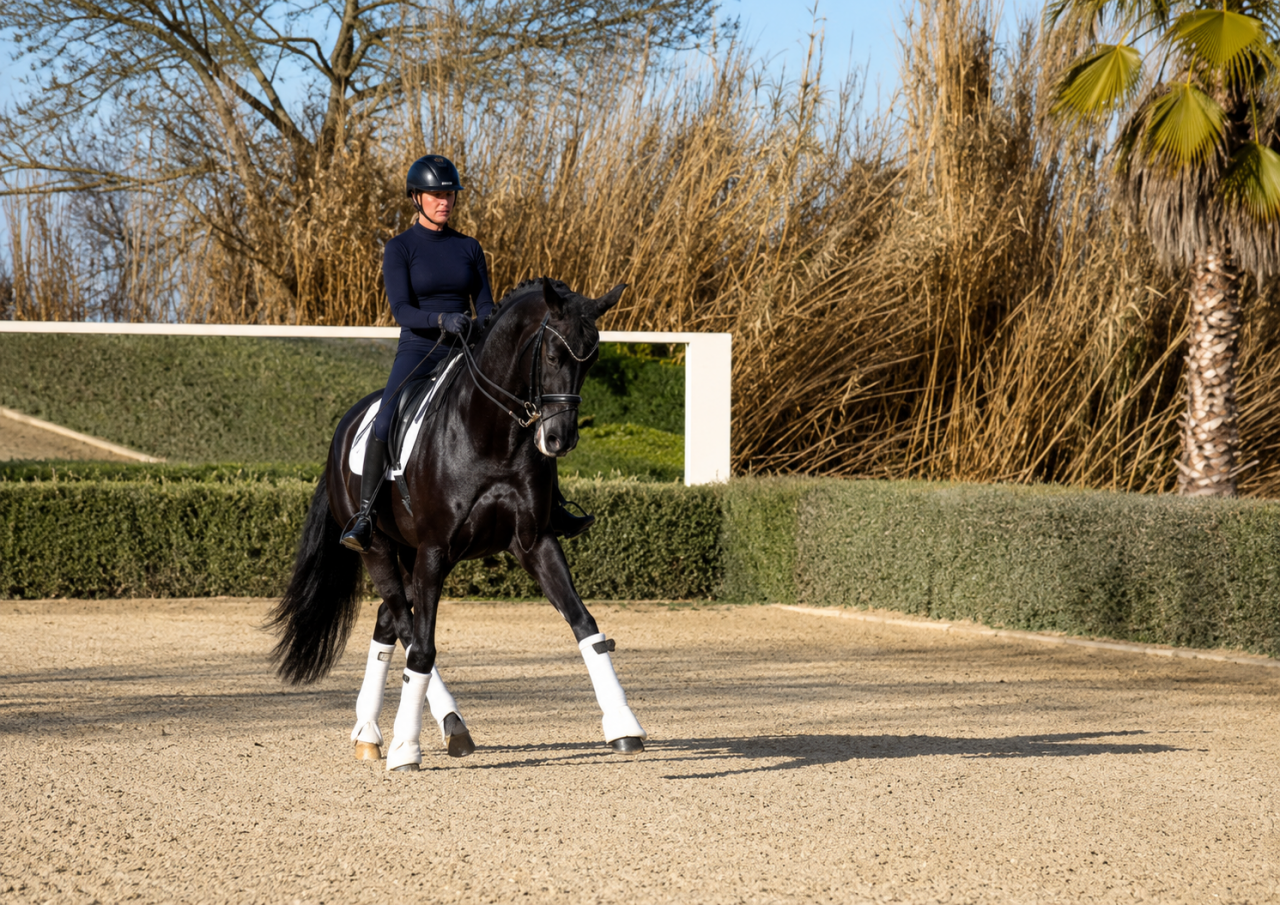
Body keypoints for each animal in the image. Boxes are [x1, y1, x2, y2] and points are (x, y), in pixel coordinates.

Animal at [266, 278, 647, 771]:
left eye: (593, 359)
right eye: (551, 355)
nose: (559, 439)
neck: (494, 435)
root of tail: (346, 426)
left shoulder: (535, 542)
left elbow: (585, 625)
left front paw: (624, 725)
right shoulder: (434, 551)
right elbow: (423, 647)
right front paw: (406, 749)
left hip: (407, 555)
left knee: (389, 621)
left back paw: (372, 732)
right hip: (380, 549)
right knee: (405, 626)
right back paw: (434, 727)